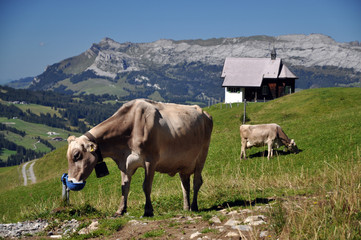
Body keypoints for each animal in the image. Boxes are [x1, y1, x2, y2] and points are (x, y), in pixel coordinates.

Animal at [66, 98, 212, 217]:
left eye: (76, 155)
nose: (71, 181)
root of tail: (204, 113)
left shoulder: (150, 160)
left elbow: (146, 186)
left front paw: (148, 211)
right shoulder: (125, 164)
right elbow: (124, 187)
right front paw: (120, 210)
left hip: (202, 155)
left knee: (197, 181)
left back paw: (194, 206)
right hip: (183, 163)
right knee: (185, 184)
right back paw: (186, 207)